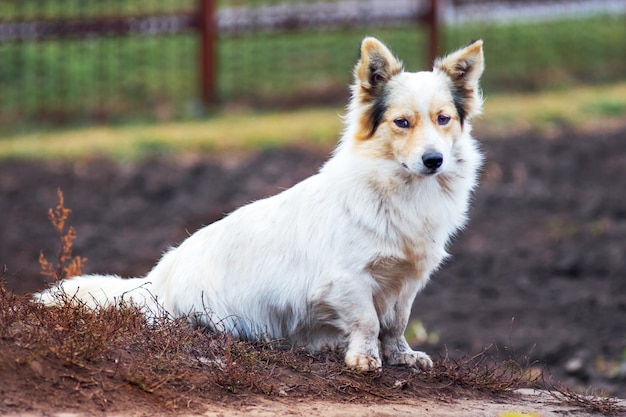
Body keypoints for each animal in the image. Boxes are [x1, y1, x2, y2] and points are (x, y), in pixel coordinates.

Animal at [37, 38, 482, 370]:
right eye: (401, 123)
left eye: (443, 119)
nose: (433, 160)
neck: (403, 190)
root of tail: (153, 281)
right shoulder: (347, 280)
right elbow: (367, 321)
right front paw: (364, 358)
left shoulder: (406, 283)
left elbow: (396, 324)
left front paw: (402, 357)